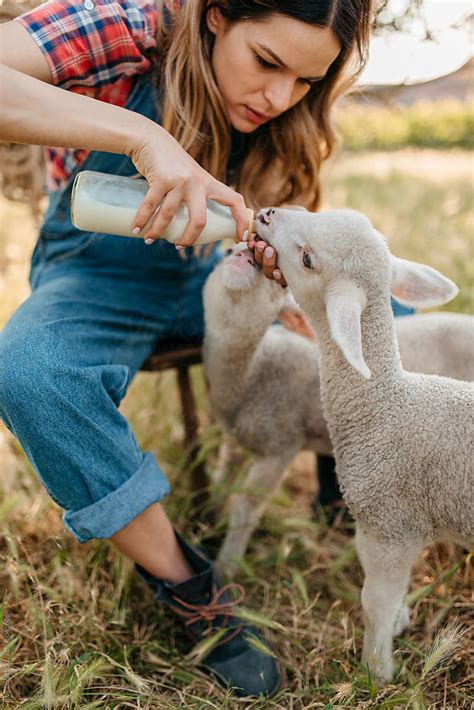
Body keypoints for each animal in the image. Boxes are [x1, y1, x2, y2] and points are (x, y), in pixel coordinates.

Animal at [204, 245, 474, 580]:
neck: (251, 373)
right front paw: (207, 521)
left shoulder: (281, 445)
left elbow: (246, 507)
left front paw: (226, 568)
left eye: (275, 279)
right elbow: (222, 479)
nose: (243, 255)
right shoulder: (234, 440)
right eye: (227, 251)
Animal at [252, 210, 470, 684]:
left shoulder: (390, 525)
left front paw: (376, 671)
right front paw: (397, 629)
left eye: (308, 259)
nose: (265, 214)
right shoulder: (389, 528)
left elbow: (374, 603)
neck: (383, 405)